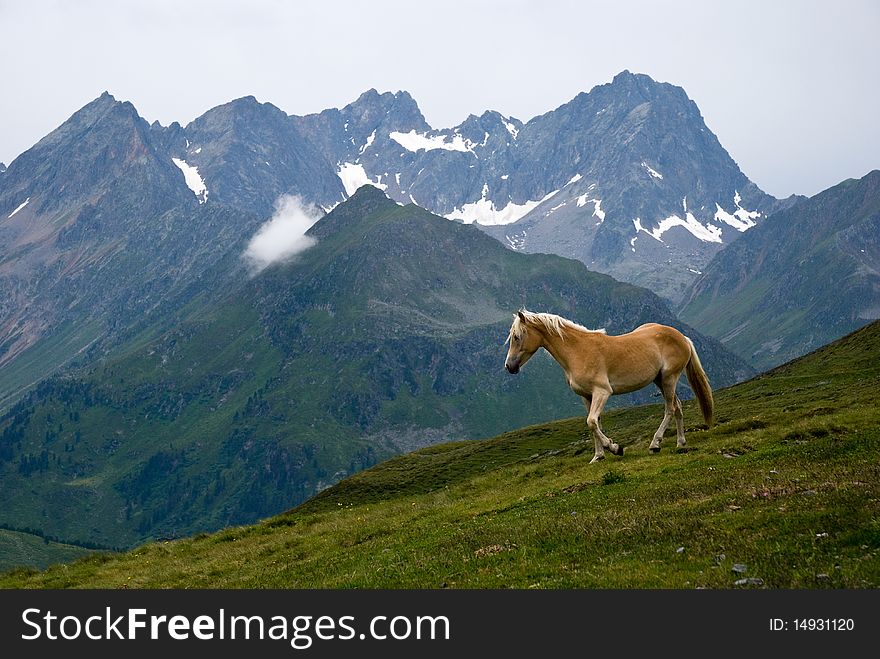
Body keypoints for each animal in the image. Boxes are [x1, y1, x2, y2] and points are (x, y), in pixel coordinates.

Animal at [502, 310, 716, 462]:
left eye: (517, 337)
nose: (509, 366)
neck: (578, 351)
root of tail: (682, 337)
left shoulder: (602, 392)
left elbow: (591, 422)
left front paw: (615, 448)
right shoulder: (586, 396)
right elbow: (594, 424)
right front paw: (598, 456)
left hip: (669, 379)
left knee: (670, 409)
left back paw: (655, 444)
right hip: (660, 380)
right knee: (678, 407)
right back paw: (680, 442)